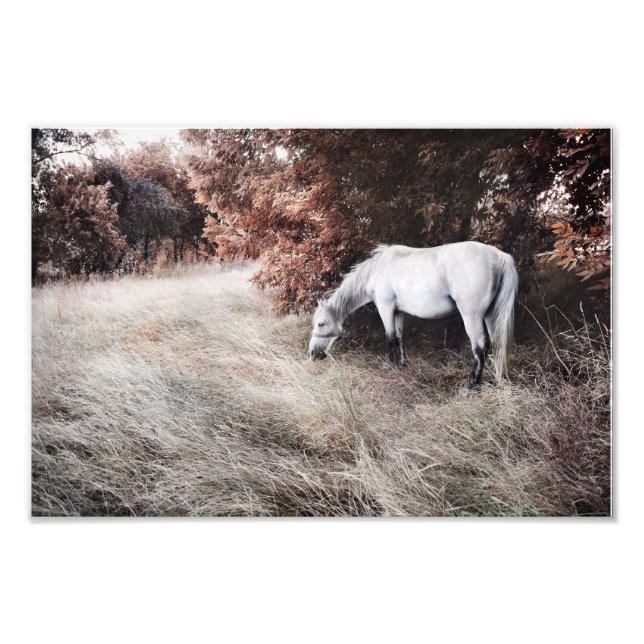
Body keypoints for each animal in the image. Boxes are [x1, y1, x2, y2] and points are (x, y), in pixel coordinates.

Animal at [308, 241, 519, 387]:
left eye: (321, 324)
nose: (311, 353)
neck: (377, 270)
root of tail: (499, 255)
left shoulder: (386, 308)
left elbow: (391, 340)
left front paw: (392, 369)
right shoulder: (398, 312)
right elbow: (400, 339)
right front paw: (403, 366)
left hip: (472, 316)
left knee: (480, 347)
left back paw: (471, 385)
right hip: (489, 315)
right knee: (496, 344)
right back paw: (494, 380)